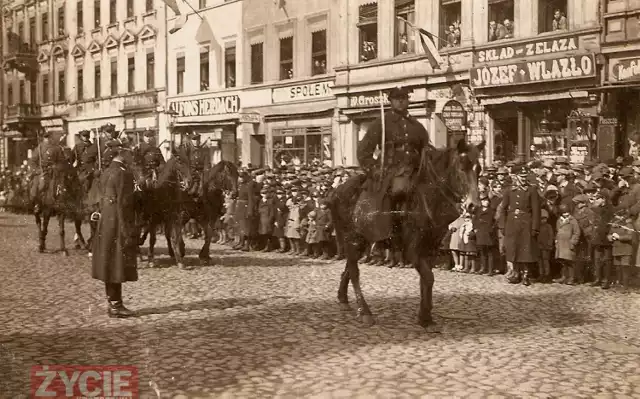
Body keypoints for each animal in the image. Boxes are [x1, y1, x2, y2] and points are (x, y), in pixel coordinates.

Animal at [328, 139, 482, 332]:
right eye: (461, 167)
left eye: (479, 169)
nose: (473, 205)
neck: (429, 197)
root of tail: (337, 191)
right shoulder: (413, 249)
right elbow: (428, 278)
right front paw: (425, 316)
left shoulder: (430, 247)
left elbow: (425, 280)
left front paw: (425, 316)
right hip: (352, 238)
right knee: (354, 271)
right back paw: (364, 312)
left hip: (363, 239)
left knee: (350, 265)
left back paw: (343, 297)